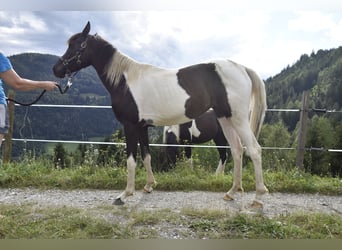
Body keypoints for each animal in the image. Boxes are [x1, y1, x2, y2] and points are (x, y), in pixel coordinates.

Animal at [52, 22, 268, 207]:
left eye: (77, 45)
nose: (56, 69)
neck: (125, 81)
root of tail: (242, 68)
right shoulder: (142, 127)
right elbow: (146, 156)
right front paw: (149, 186)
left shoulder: (130, 126)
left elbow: (131, 160)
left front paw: (124, 194)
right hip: (225, 119)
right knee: (236, 150)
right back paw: (232, 192)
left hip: (238, 119)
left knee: (254, 150)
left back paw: (258, 197)